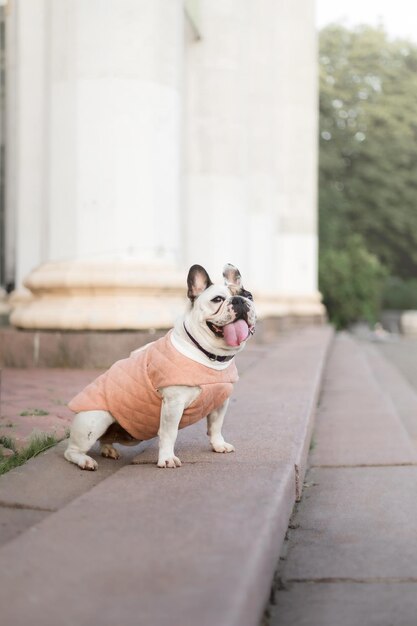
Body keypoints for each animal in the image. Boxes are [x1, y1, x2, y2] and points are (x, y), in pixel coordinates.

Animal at [64, 262, 256, 468]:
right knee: (71, 451)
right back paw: (85, 460)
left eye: (249, 296)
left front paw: (219, 445)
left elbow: (216, 426)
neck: (208, 355)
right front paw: (167, 458)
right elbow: (169, 433)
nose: (239, 301)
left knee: (104, 439)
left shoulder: (220, 401)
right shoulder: (174, 403)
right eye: (218, 299)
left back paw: (108, 449)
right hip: (95, 419)